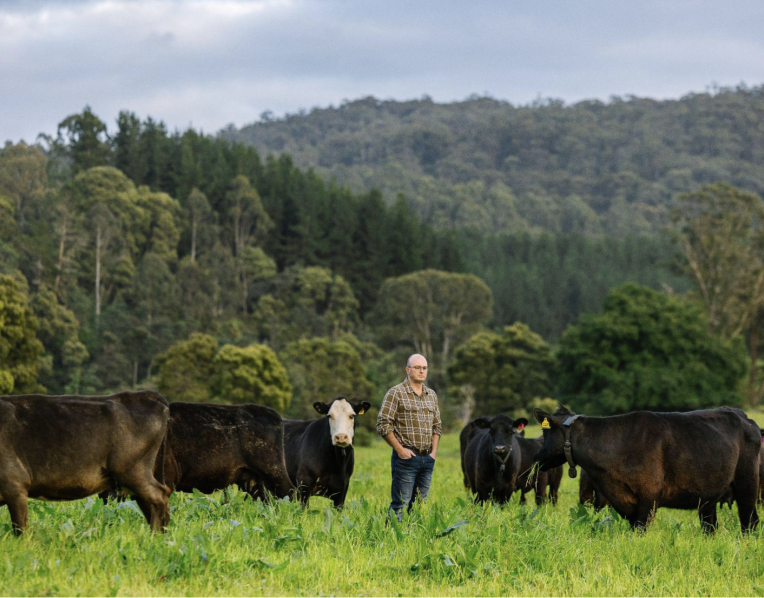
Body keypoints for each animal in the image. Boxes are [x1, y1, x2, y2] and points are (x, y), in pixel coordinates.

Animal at [0, 391, 171, 534]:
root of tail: (144, 395)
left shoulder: (15, 485)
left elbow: (20, 530)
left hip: (131, 471)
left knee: (159, 495)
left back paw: (155, 536)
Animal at [533, 406, 761, 533]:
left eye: (545, 432)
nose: (537, 457)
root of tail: (743, 416)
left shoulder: (648, 497)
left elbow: (641, 531)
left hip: (748, 484)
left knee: (750, 521)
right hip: (707, 496)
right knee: (710, 525)